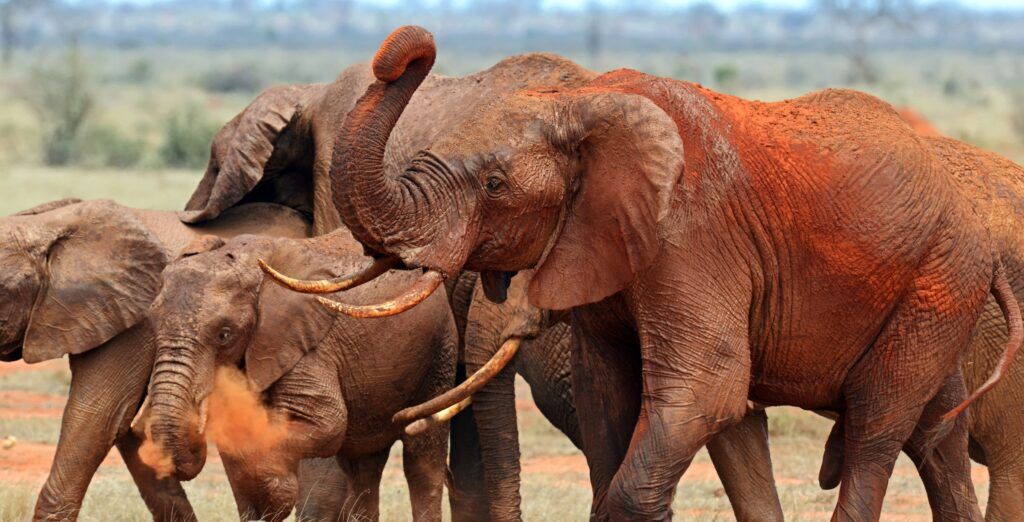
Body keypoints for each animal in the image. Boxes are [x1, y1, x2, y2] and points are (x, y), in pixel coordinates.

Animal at [141, 230, 458, 522]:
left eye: (224, 334)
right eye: (152, 325)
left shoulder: (305, 346)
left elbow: (327, 424)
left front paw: (274, 491)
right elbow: (235, 434)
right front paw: (263, 502)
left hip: (440, 352)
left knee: (422, 459)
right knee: (362, 467)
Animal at [270, 26, 1023, 521]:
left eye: (493, 185)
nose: (409, 47)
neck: (578, 103)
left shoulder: (692, 237)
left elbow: (707, 390)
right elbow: (611, 397)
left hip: (938, 279)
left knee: (874, 428)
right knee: (933, 435)